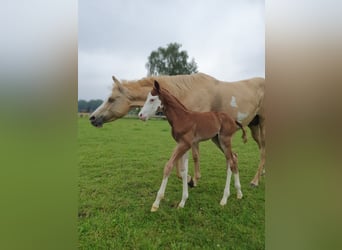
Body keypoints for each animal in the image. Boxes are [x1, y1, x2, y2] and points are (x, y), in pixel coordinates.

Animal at [89, 73, 266, 187]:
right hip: (251, 128)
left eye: (111, 99)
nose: (92, 118)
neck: (188, 92)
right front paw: (189, 178)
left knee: (263, 150)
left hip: (262, 125)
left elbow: (193, 157)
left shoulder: (193, 135)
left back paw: (255, 181)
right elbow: (181, 162)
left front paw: (193, 179)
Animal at [143, 81, 247, 211]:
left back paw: (224, 198)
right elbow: (183, 170)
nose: (140, 115)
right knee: (233, 157)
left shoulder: (185, 144)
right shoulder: (183, 144)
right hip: (217, 140)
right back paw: (239, 193)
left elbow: (169, 166)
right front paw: (184, 199)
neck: (182, 118)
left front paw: (156, 203)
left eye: (152, 99)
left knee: (231, 161)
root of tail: (233, 120)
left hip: (225, 139)